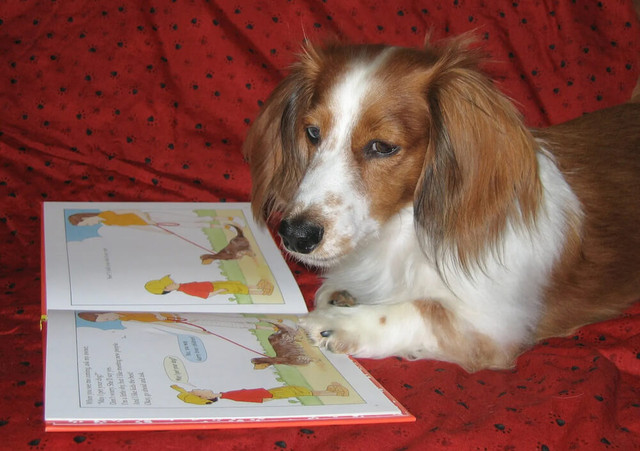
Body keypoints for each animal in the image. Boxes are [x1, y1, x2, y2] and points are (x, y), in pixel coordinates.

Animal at [241, 38, 640, 370]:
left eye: (382, 146)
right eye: (312, 133)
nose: (295, 235)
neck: (404, 233)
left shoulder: (492, 328)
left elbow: (418, 310)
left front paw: (342, 324)